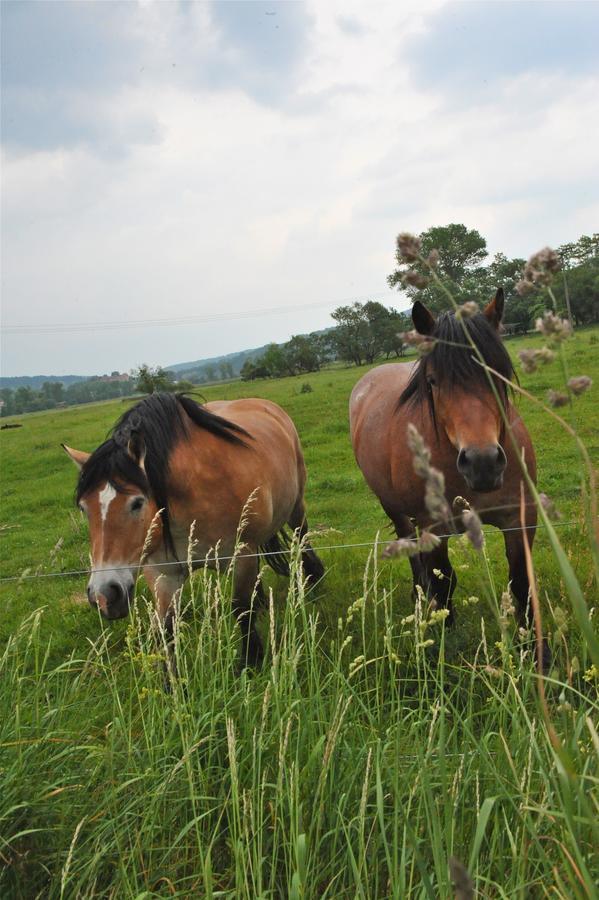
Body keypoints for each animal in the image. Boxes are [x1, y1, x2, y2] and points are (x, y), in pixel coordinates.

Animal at [63, 394, 326, 668]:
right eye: (83, 508)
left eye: (137, 503)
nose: (104, 595)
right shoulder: (163, 574)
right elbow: (167, 628)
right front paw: (172, 678)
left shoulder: (241, 554)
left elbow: (242, 609)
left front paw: (250, 661)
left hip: (295, 507)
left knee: (301, 536)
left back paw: (313, 576)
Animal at [350, 296, 540, 648]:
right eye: (433, 381)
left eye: (495, 371)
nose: (482, 462)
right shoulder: (435, 527)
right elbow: (444, 583)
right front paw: (442, 644)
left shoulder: (519, 518)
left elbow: (522, 583)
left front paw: (535, 650)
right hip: (396, 510)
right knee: (411, 549)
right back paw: (418, 594)